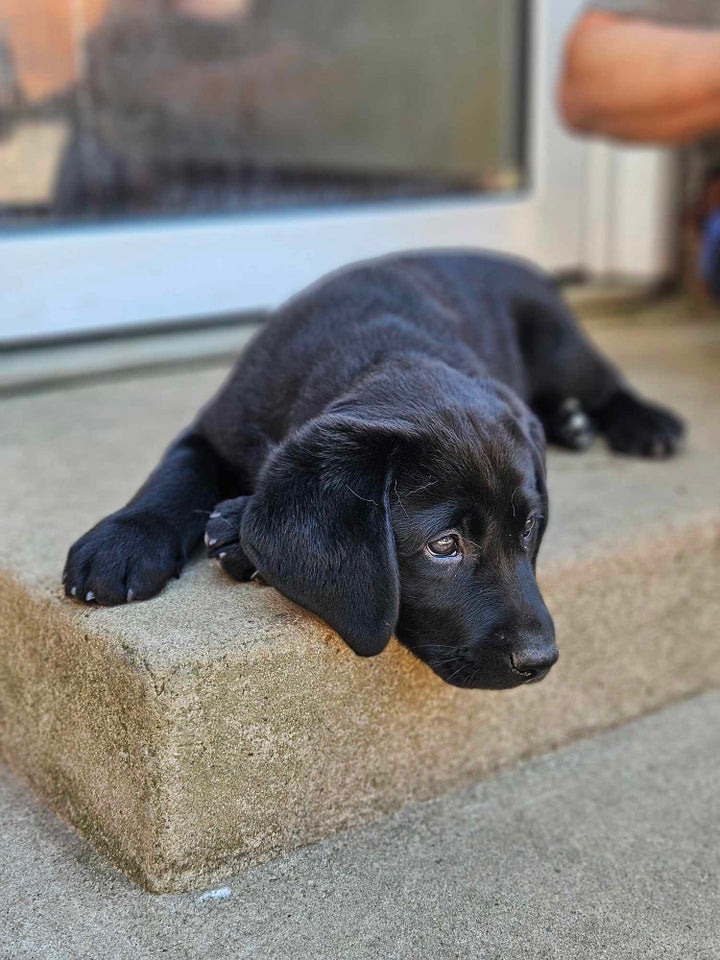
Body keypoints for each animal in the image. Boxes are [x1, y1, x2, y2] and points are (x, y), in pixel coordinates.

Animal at [60, 253, 680, 688]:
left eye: (529, 529)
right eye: (443, 545)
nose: (541, 660)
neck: (380, 349)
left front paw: (236, 530)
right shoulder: (215, 427)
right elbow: (174, 476)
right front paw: (121, 543)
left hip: (559, 341)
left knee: (607, 384)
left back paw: (643, 423)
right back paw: (574, 423)